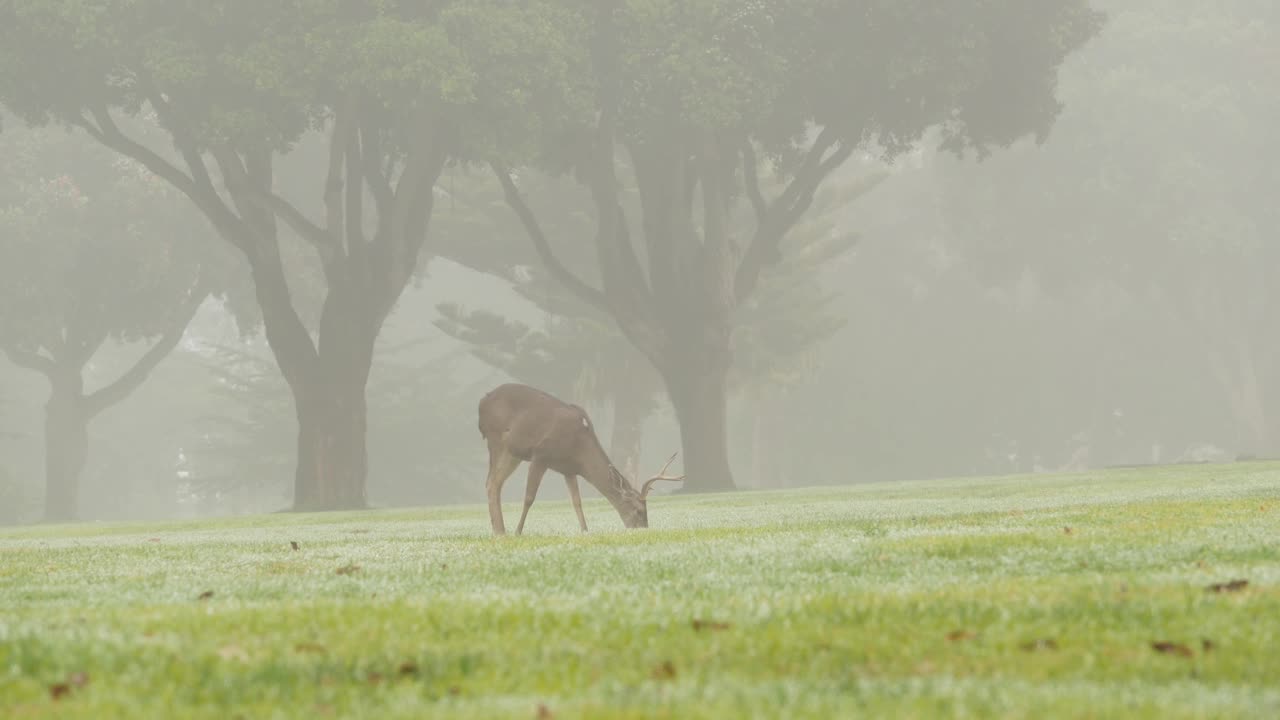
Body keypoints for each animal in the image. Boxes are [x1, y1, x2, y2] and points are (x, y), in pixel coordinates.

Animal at [476, 381, 686, 532]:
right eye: (639, 510)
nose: (642, 529)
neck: (580, 448)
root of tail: (482, 402)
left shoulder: (569, 470)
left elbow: (577, 502)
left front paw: (585, 531)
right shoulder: (541, 455)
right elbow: (529, 497)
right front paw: (519, 532)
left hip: (513, 453)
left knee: (494, 484)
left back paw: (499, 531)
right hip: (496, 440)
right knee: (490, 483)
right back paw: (502, 531)